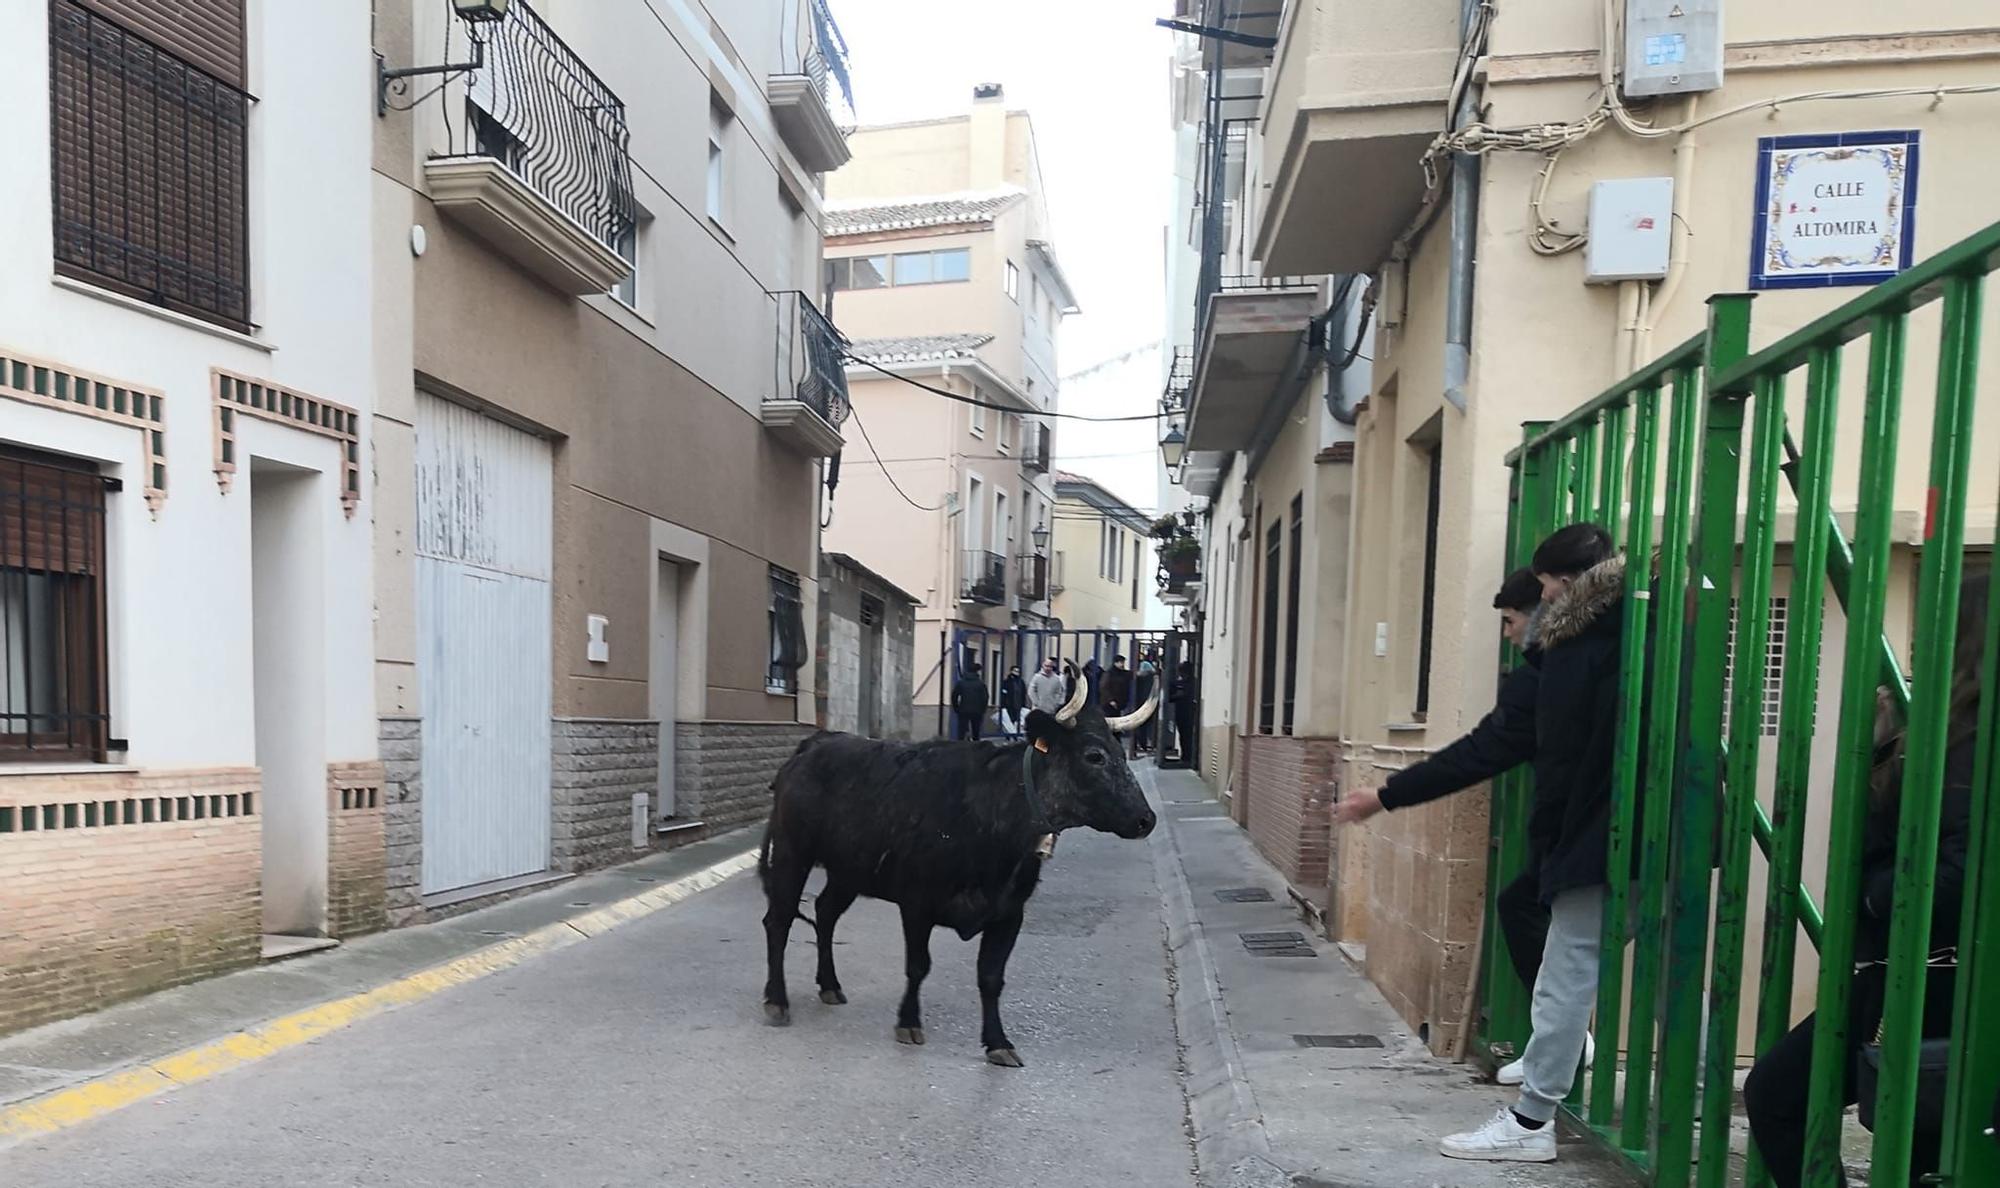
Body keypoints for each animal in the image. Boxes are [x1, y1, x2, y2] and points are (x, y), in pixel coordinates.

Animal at [756, 688, 1160, 1056]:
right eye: (1094, 756)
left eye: (1122, 754)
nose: (1146, 819)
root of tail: (815, 743)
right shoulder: (917, 903)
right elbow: (918, 966)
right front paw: (909, 1022)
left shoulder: (1009, 913)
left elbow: (991, 977)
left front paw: (998, 1042)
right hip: (793, 854)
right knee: (778, 920)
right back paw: (777, 1000)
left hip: (847, 870)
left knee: (824, 913)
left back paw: (829, 985)